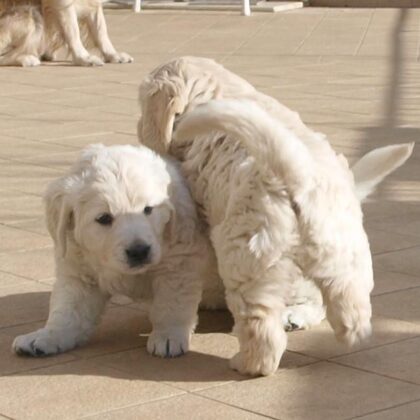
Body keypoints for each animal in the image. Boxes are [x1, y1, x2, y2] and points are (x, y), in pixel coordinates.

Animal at [0, 0, 132, 66]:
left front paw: (113, 55)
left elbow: (101, 30)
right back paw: (27, 59)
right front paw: (83, 57)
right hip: (30, 14)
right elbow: (73, 32)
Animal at [11, 144, 221, 358]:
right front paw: (46, 336)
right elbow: (67, 311)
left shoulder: (179, 263)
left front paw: (168, 336)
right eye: (104, 218)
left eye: (148, 209)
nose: (139, 251)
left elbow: (171, 304)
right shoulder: (79, 272)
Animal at [138, 55, 414, 374]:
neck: (216, 91)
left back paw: (249, 360)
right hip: (345, 251)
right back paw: (349, 332)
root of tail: (300, 178)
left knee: (264, 329)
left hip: (249, 258)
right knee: (349, 303)